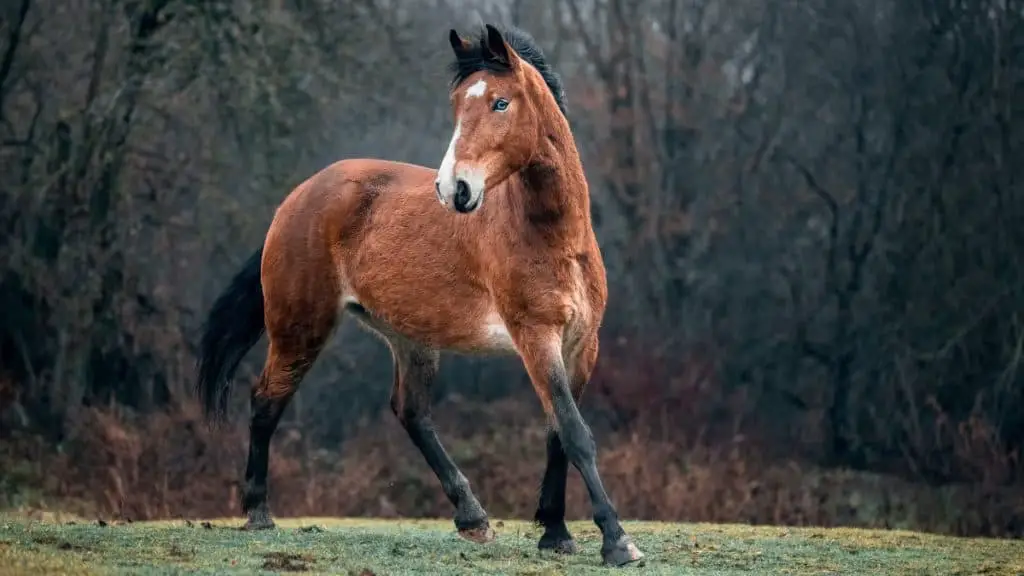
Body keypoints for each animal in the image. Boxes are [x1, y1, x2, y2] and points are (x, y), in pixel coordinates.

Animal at [194, 23, 643, 565]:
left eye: (500, 103)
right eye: (457, 105)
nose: (455, 189)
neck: (553, 234)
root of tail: (296, 199)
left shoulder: (580, 344)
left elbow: (559, 432)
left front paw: (555, 533)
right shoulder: (536, 338)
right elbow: (575, 432)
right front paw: (617, 541)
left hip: (410, 338)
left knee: (410, 412)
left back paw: (472, 517)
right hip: (301, 329)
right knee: (266, 400)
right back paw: (258, 513)